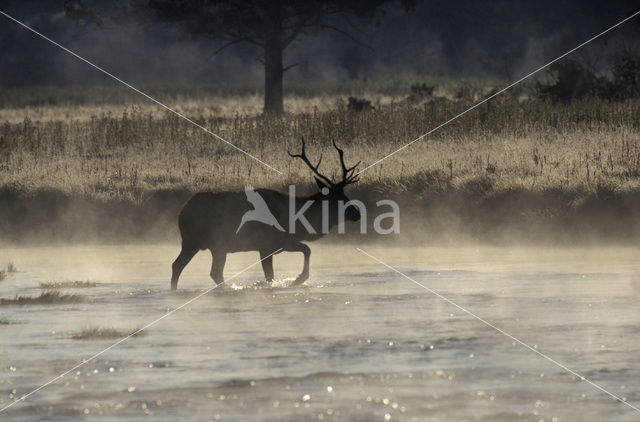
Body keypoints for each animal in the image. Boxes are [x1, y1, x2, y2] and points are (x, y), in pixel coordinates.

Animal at [170, 138, 360, 290]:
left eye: (345, 193)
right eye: (337, 198)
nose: (357, 212)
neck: (297, 223)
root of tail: (181, 213)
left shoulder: (281, 244)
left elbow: (305, 250)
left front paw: (297, 279)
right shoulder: (267, 245)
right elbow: (277, 271)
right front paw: (298, 279)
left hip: (193, 243)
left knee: (177, 265)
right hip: (212, 243)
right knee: (212, 271)